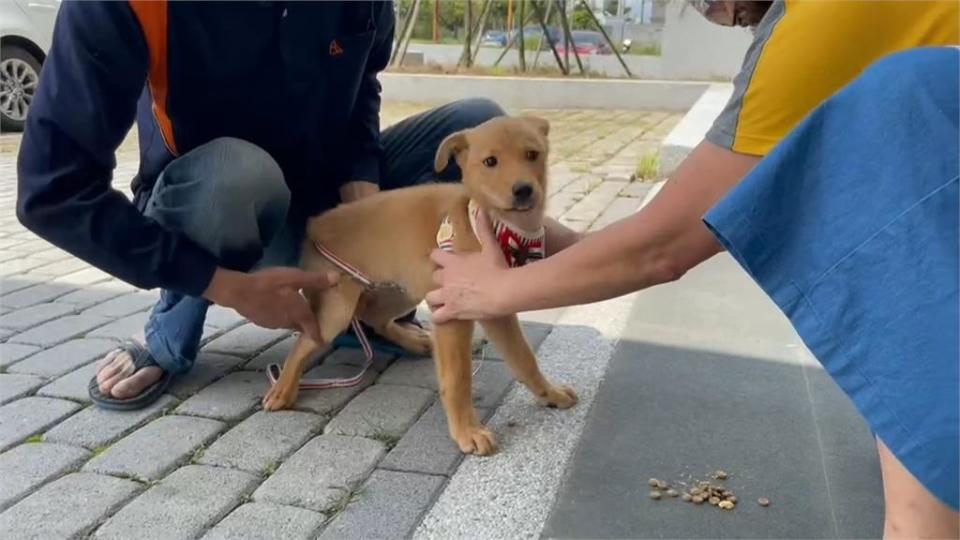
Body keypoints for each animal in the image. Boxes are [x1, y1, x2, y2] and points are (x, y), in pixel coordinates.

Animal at [262, 115, 572, 456]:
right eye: (490, 162)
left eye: (533, 154)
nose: (524, 190)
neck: (495, 227)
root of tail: (315, 224)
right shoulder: (451, 313)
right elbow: (458, 376)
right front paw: (467, 430)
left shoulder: (494, 305)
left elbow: (524, 358)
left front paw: (550, 393)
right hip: (336, 308)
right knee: (307, 339)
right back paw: (283, 388)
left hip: (401, 290)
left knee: (374, 316)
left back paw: (417, 342)